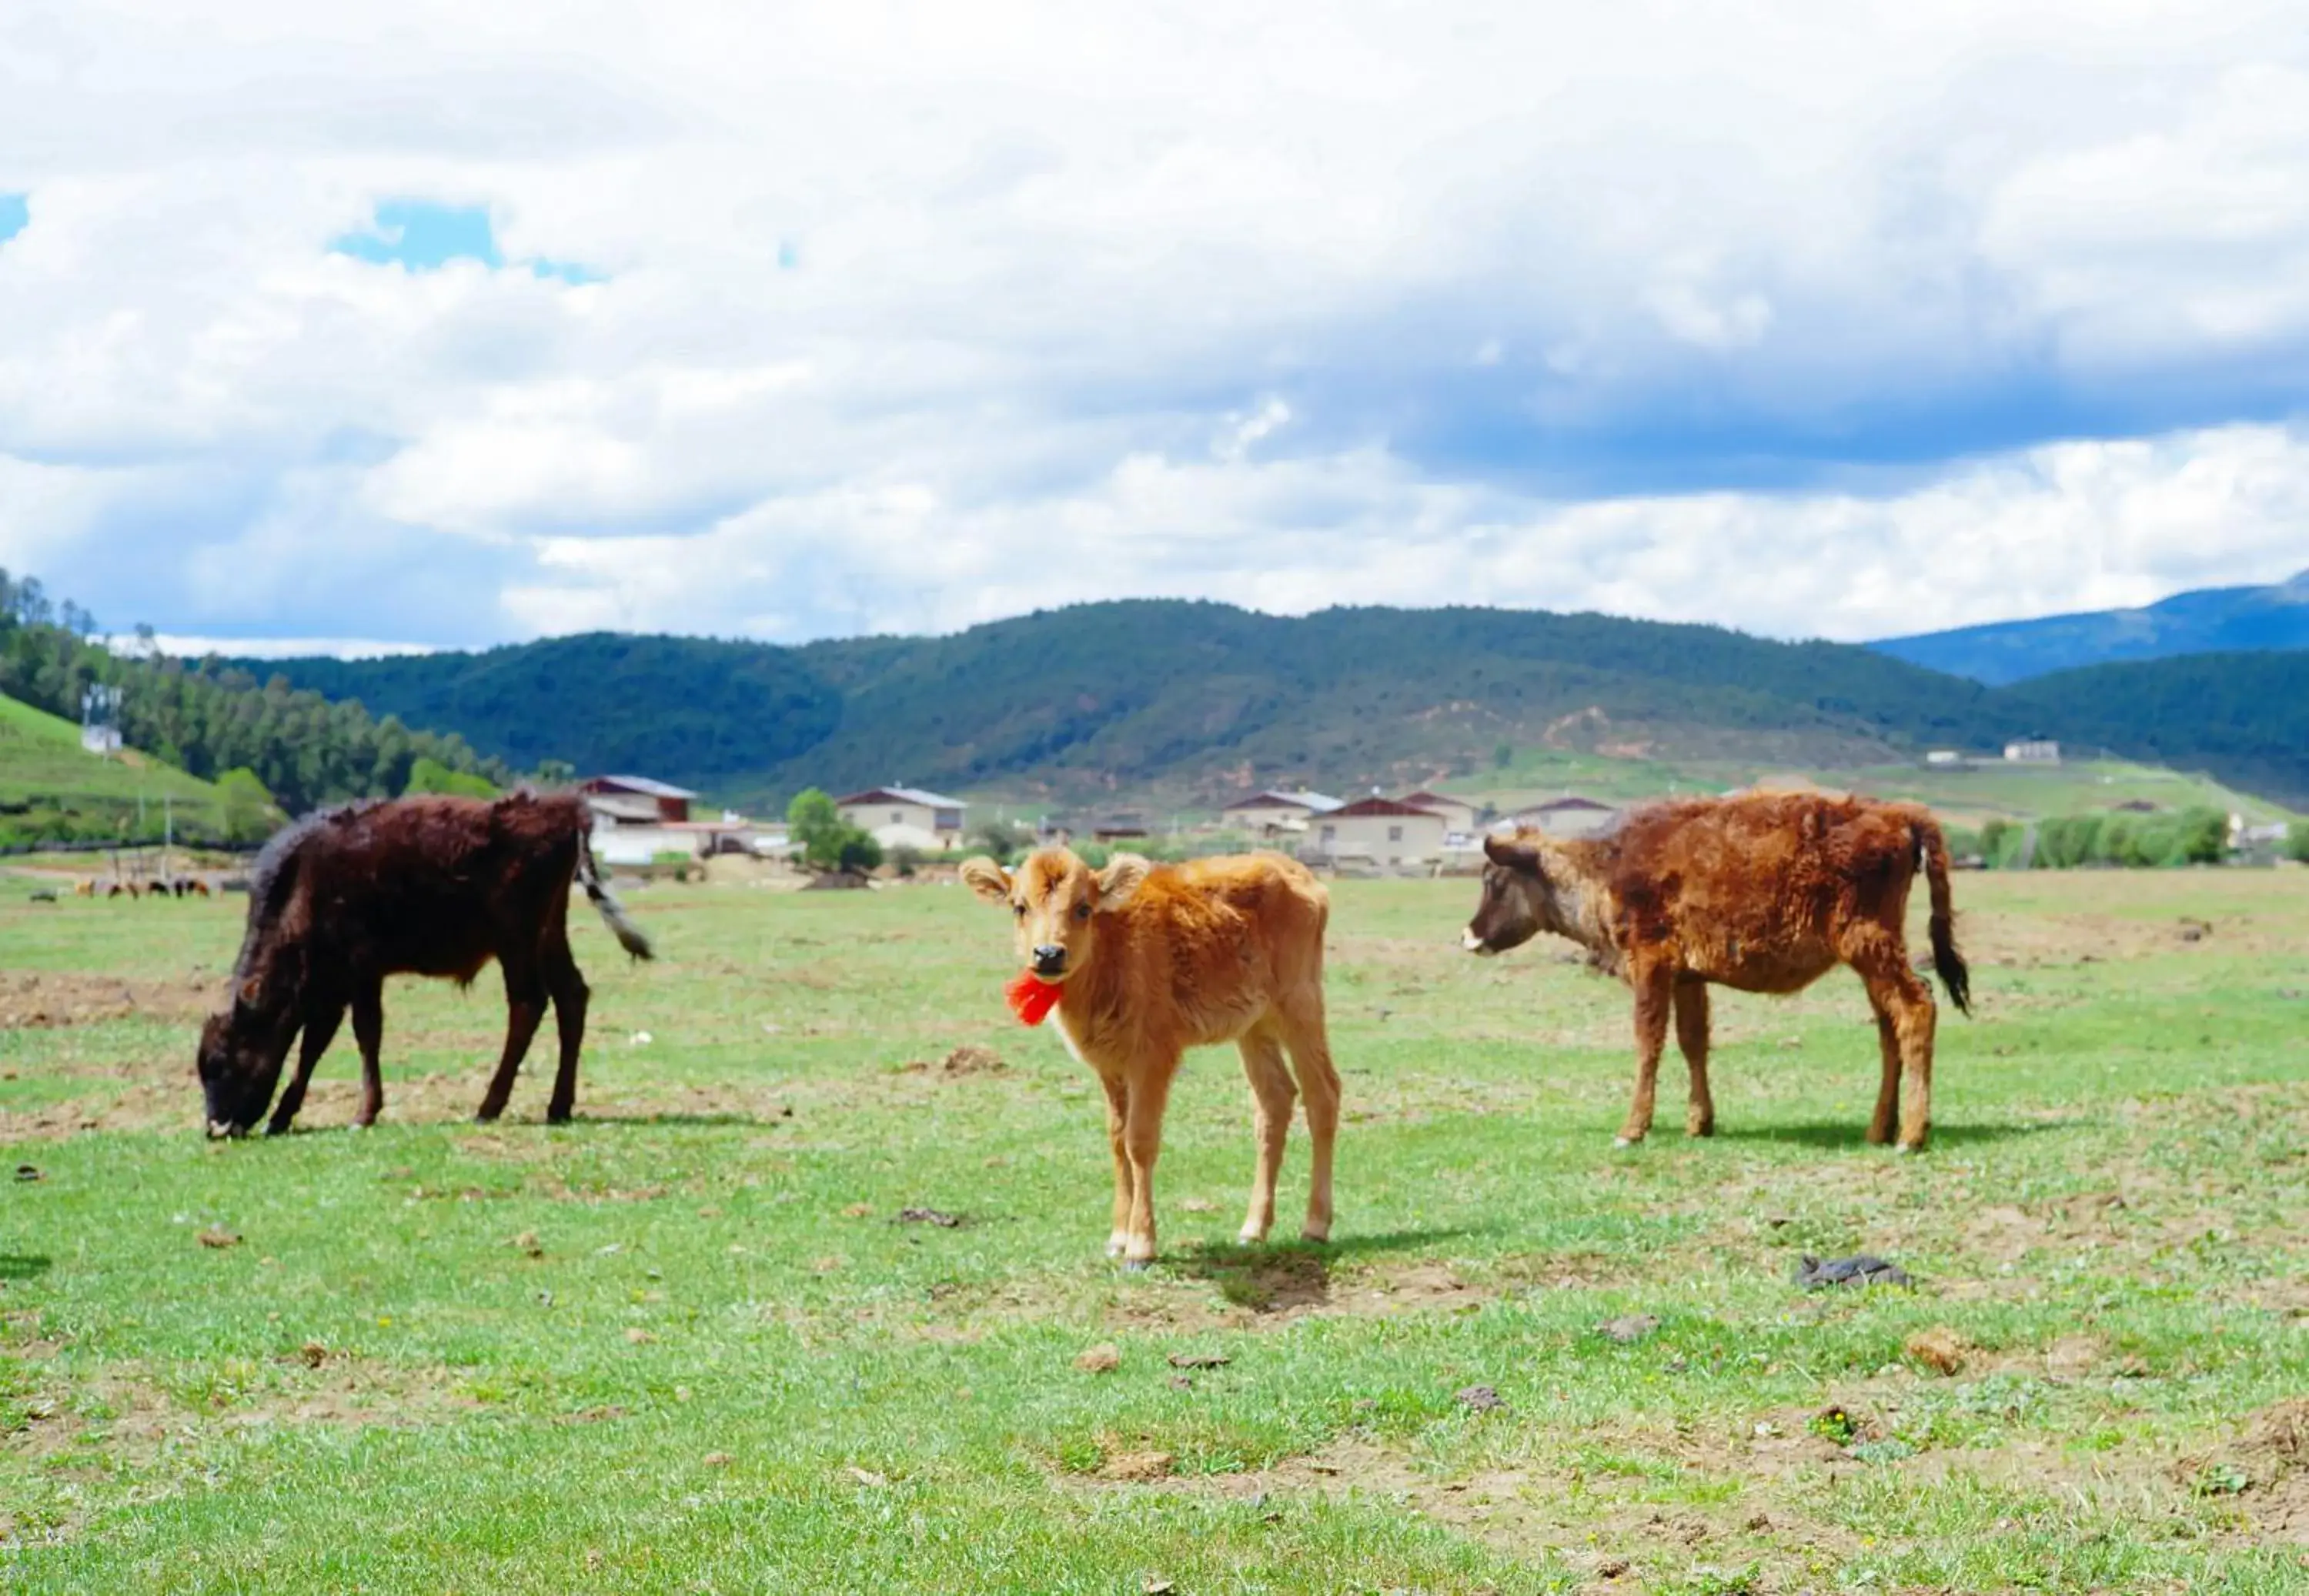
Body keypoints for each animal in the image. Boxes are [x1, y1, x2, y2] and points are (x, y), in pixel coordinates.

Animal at [194, 790, 656, 1136]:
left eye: (220, 1064)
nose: (216, 1127)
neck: (302, 885)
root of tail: (564, 809)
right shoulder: (331, 988)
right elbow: (315, 1045)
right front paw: (284, 1115)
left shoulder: (358, 973)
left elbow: (359, 1036)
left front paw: (362, 1113)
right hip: (549, 936)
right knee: (571, 997)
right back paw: (558, 1105)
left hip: (517, 940)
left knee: (528, 1003)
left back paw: (489, 1105)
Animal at [965, 850, 1348, 1274]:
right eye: (1019, 907)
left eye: (1084, 907)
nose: (1049, 954)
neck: (1113, 946)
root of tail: (1292, 869)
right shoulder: (1110, 1066)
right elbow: (1117, 1140)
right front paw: (1117, 1238)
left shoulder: (1152, 1059)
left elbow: (1140, 1141)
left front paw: (1140, 1247)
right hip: (1254, 1027)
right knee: (1274, 1100)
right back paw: (1252, 1230)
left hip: (1300, 1007)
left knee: (1323, 1093)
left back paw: (1314, 1226)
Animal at [1469, 794, 1977, 1154]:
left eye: (1494, 880)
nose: (1469, 934)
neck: (1603, 868)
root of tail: (1899, 815)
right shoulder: (1689, 979)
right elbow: (1693, 1043)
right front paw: (1700, 1123)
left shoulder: (1651, 965)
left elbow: (1648, 1041)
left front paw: (1631, 1130)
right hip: (1871, 959)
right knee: (1890, 1027)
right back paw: (1878, 1130)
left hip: (1869, 946)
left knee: (1917, 1007)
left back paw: (1910, 1136)